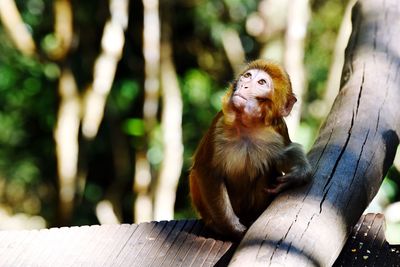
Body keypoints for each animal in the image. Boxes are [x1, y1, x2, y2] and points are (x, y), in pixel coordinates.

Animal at [188, 59, 312, 241]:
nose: (244, 85)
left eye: (261, 82)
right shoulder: (218, 125)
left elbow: (287, 152)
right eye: (247, 76)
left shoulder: (278, 129)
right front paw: (232, 228)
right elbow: (207, 170)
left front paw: (298, 174)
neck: (247, 125)